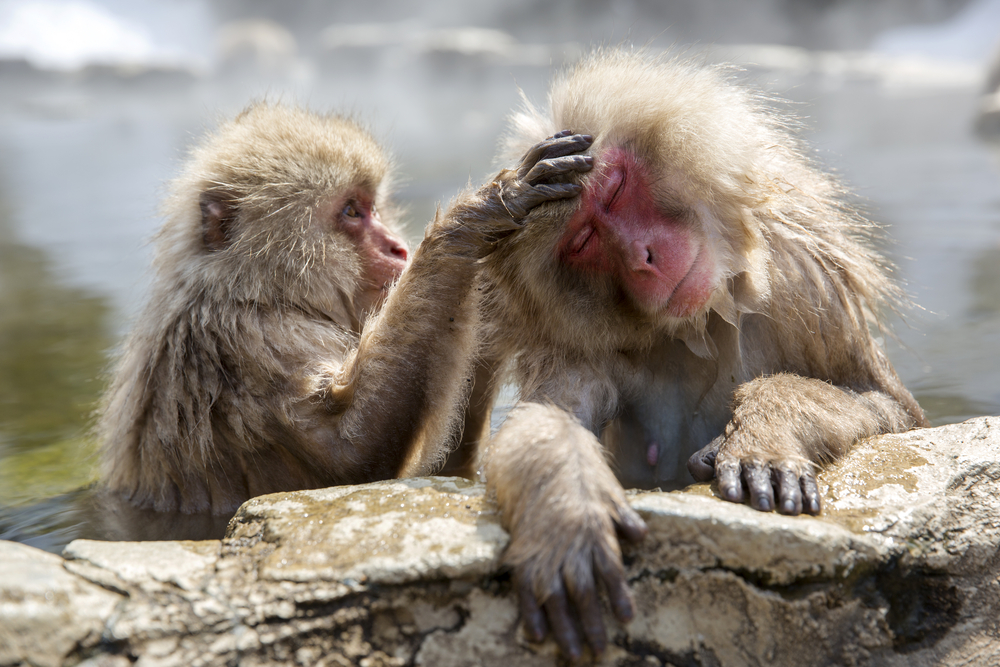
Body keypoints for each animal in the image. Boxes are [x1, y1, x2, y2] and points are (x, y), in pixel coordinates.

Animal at [95, 104, 592, 520]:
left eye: (373, 207)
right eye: (352, 212)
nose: (398, 246)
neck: (257, 289)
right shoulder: (255, 341)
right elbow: (351, 455)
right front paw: (474, 219)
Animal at [476, 51, 928, 656]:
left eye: (615, 191)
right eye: (585, 241)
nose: (642, 259)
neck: (702, 319)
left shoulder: (803, 281)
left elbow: (887, 405)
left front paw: (763, 434)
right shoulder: (573, 341)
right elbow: (551, 413)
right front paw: (567, 512)